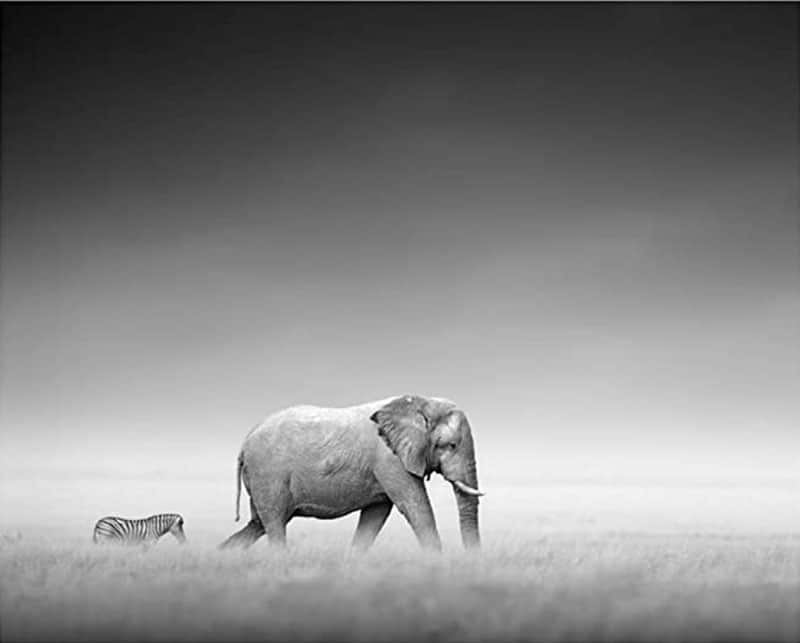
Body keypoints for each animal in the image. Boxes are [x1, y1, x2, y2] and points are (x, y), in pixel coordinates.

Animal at [219, 394, 483, 551]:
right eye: (451, 445)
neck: (420, 403)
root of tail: (244, 445)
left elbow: (375, 515)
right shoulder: (390, 459)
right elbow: (416, 507)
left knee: (258, 524)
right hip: (268, 474)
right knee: (273, 524)